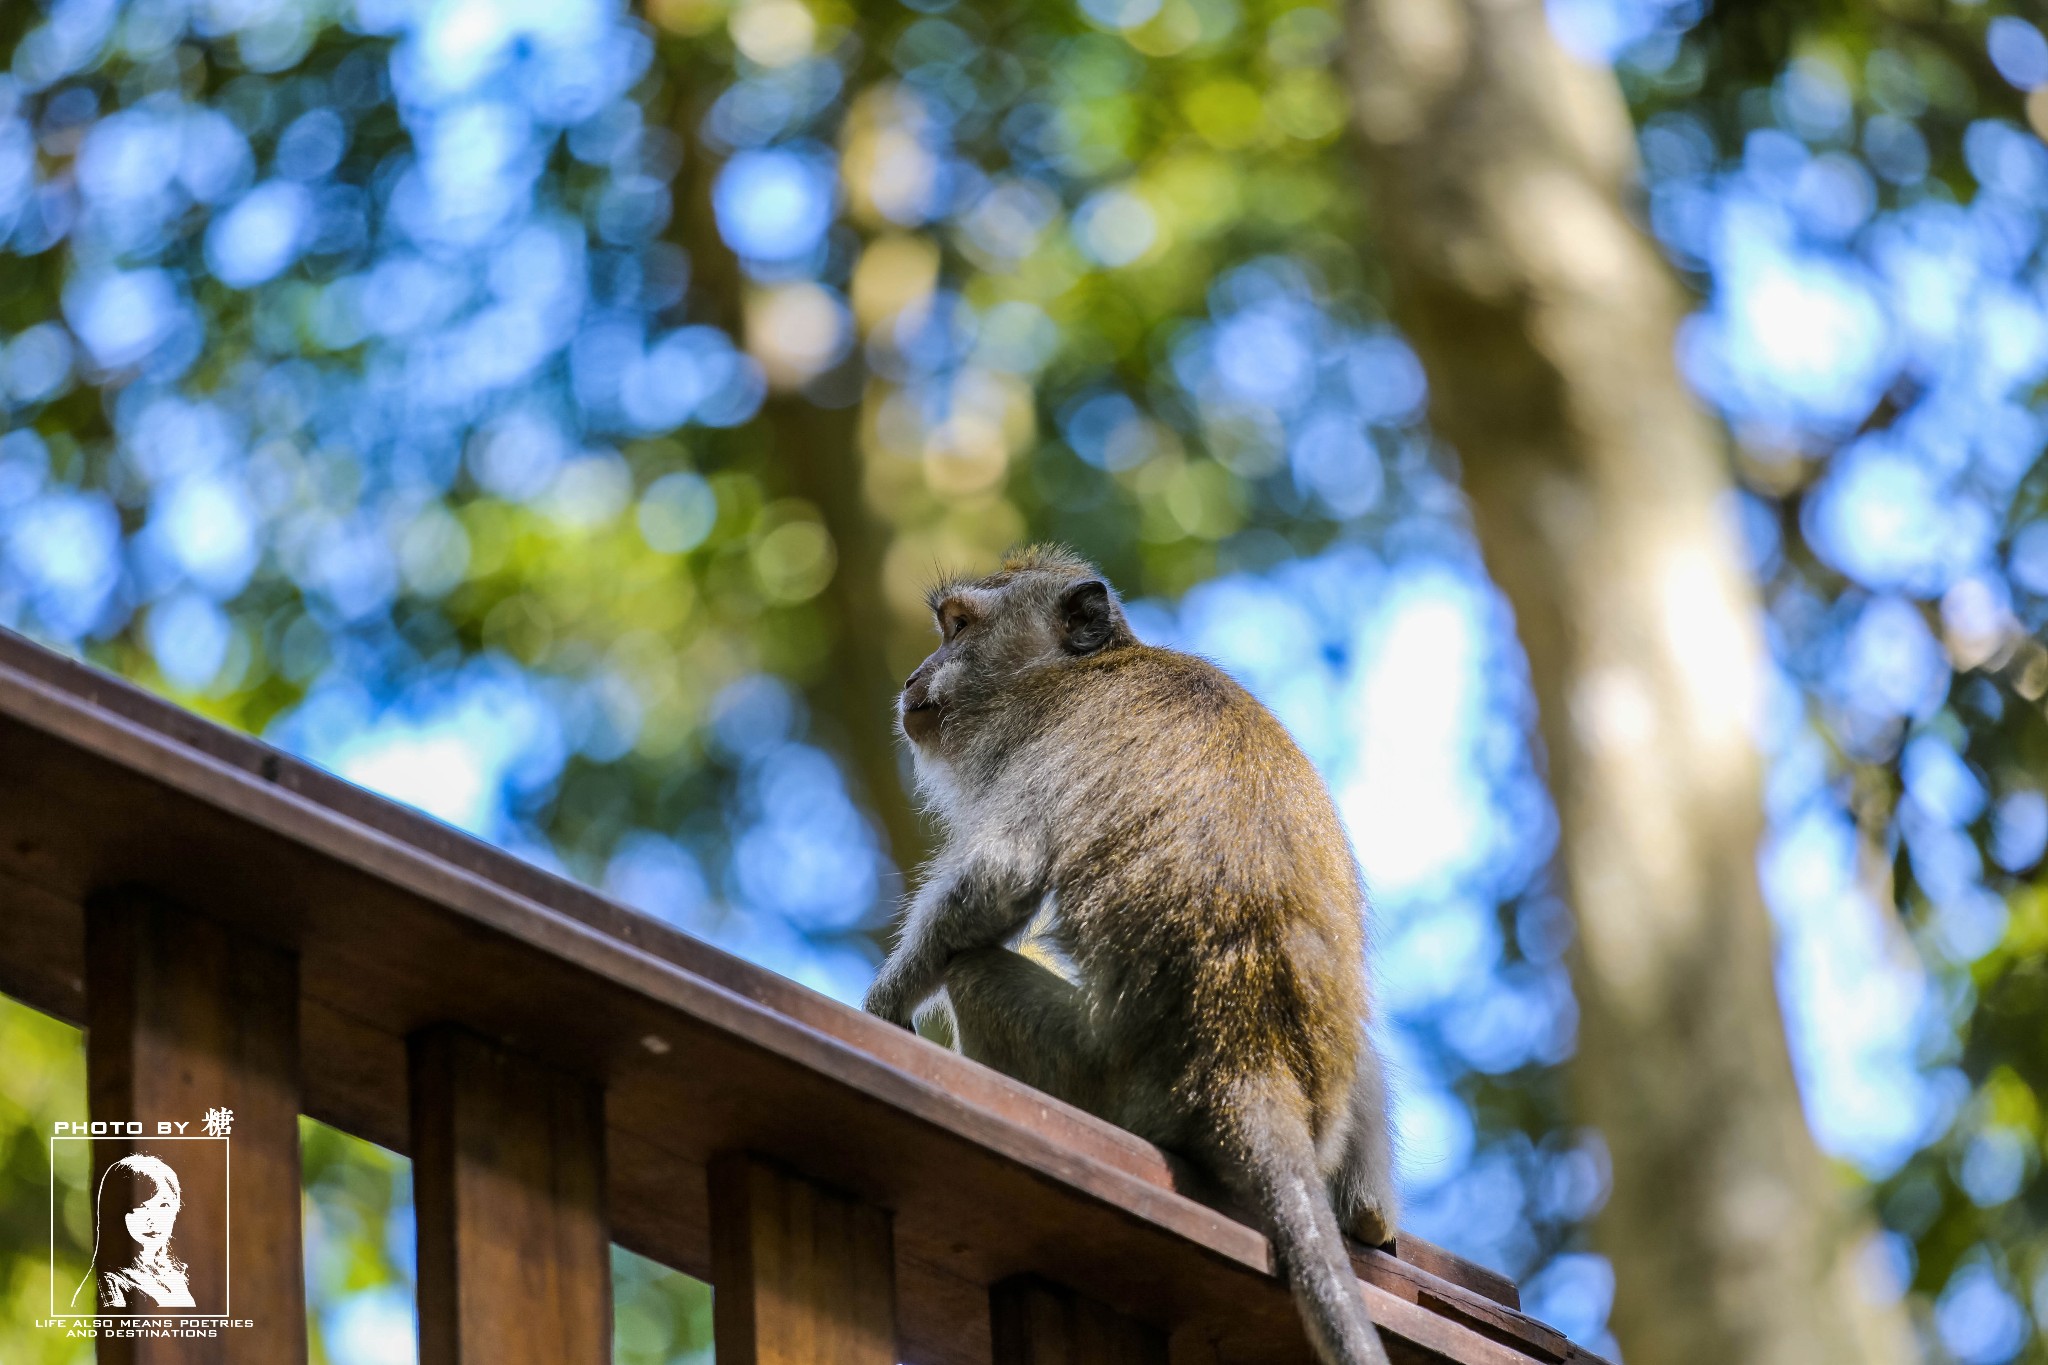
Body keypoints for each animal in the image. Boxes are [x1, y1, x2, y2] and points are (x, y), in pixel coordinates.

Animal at [864, 548, 1409, 1365]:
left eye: (958, 627)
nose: (910, 677)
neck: (1093, 665)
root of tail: (1248, 1065)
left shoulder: (1042, 736)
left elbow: (998, 878)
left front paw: (886, 1001)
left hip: (1102, 1081)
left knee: (974, 970)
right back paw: (1371, 1214)